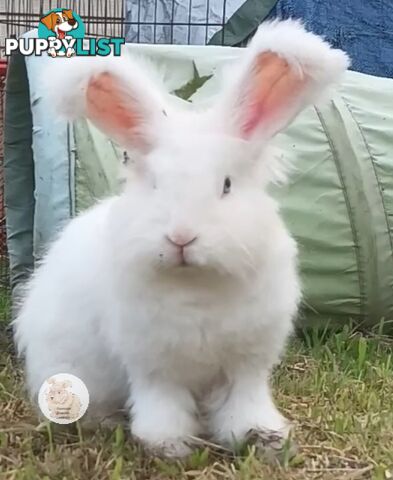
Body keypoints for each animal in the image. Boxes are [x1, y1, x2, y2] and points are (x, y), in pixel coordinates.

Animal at [13, 20, 348, 458]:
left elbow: (245, 403)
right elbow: (163, 404)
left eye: (226, 185)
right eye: (156, 184)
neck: (196, 286)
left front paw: (264, 438)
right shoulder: (154, 367)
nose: (182, 237)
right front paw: (168, 445)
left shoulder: (246, 365)